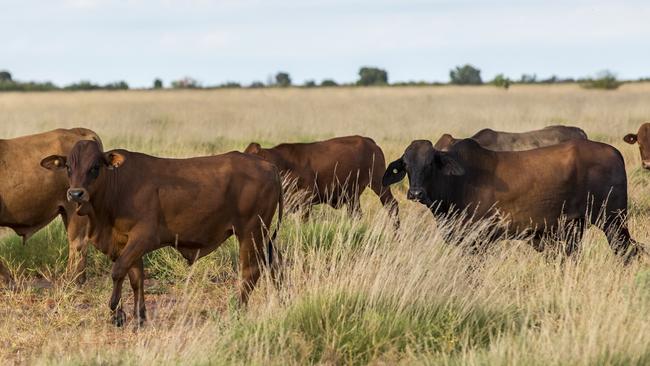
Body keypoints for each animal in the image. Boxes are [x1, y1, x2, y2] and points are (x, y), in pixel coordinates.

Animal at [40, 141, 282, 326]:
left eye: (95, 167)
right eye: (68, 167)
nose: (75, 194)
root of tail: (268, 166)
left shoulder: (143, 238)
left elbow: (118, 272)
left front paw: (116, 313)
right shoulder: (126, 243)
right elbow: (136, 278)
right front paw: (138, 317)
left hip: (251, 232)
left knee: (250, 271)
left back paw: (238, 311)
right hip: (264, 235)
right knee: (274, 264)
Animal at [242, 134, 394, 220]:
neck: (283, 164)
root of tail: (369, 142)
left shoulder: (306, 199)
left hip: (379, 184)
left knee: (392, 206)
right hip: (352, 195)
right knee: (356, 214)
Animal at [382, 138, 640, 260]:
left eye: (430, 164)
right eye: (406, 165)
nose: (416, 193)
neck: (457, 182)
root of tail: (614, 152)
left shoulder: (477, 242)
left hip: (613, 222)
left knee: (628, 252)